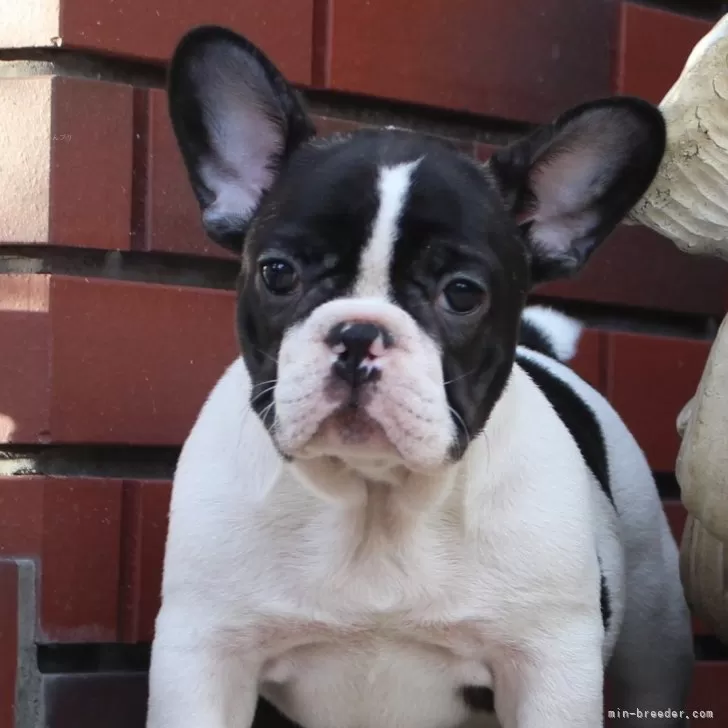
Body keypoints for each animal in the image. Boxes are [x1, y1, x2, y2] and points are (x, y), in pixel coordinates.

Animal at [146, 24, 692, 728]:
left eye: (461, 293)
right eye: (278, 273)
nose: (358, 334)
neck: (376, 503)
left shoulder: (548, 664)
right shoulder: (207, 652)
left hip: (655, 623)